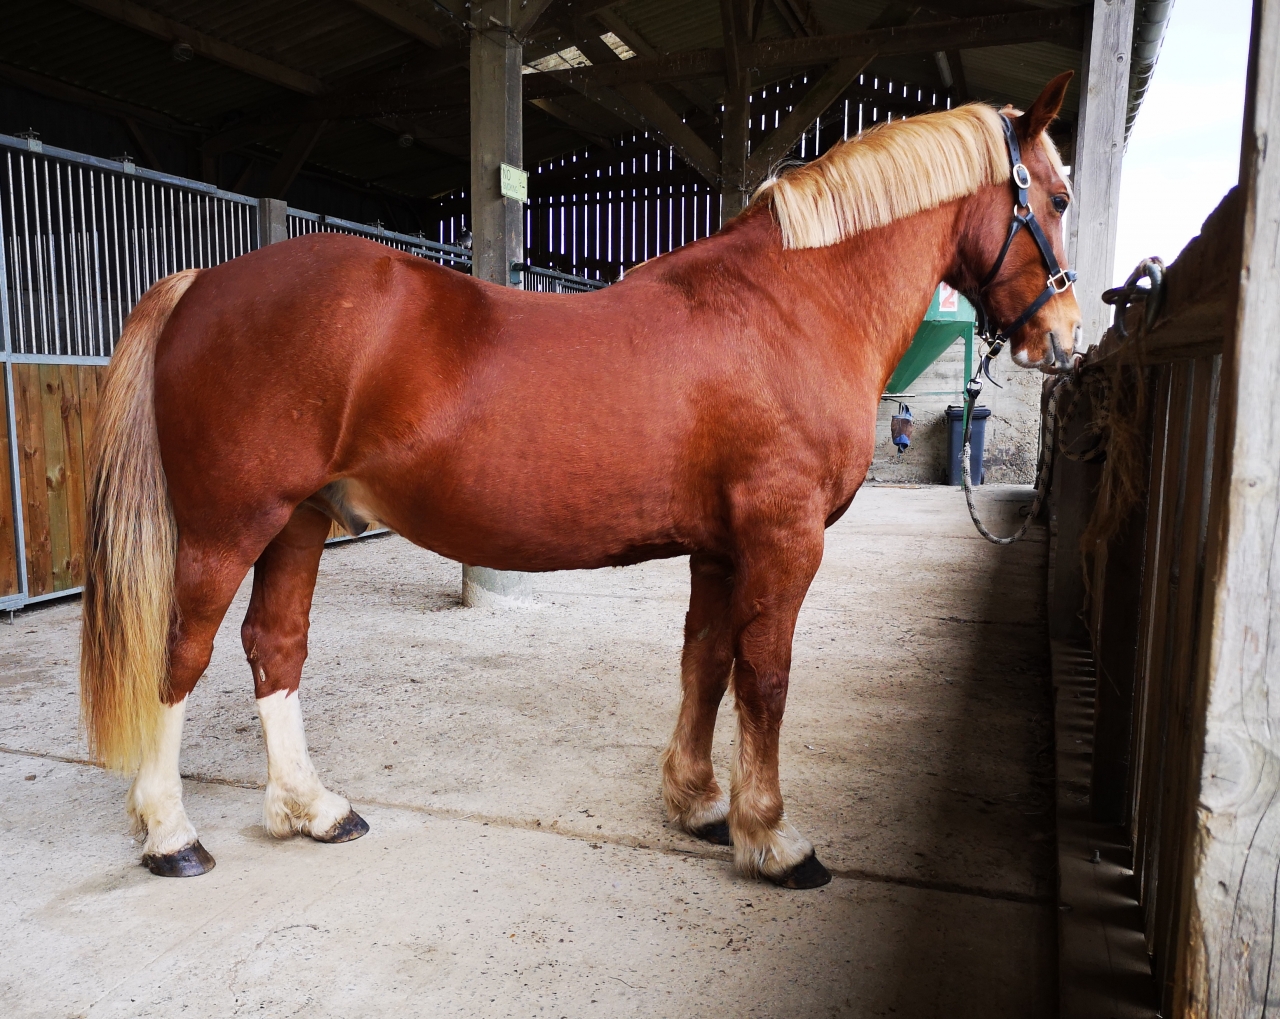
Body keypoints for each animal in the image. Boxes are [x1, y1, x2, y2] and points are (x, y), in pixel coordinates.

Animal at [80, 72, 1080, 888]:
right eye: (1061, 194)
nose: (1063, 334)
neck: (789, 307)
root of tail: (203, 282)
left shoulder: (720, 548)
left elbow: (705, 661)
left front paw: (699, 804)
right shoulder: (781, 536)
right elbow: (765, 675)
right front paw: (772, 836)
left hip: (298, 520)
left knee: (274, 644)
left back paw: (314, 809)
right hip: (229, 526)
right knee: (182, 654)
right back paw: (171, 834)